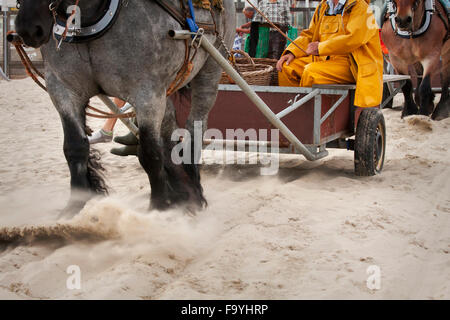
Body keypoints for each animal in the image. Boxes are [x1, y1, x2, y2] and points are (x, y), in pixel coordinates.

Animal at [14, 0, 236, 215]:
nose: (28, 27)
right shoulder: (62, 88)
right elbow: (75, 147)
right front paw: (75, 206)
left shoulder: (147, 92)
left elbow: (149, 153)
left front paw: (159, 207)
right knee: (168, 129)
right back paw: (182, 190)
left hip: (210, 67)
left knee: (195, 126)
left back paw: (193, 187)